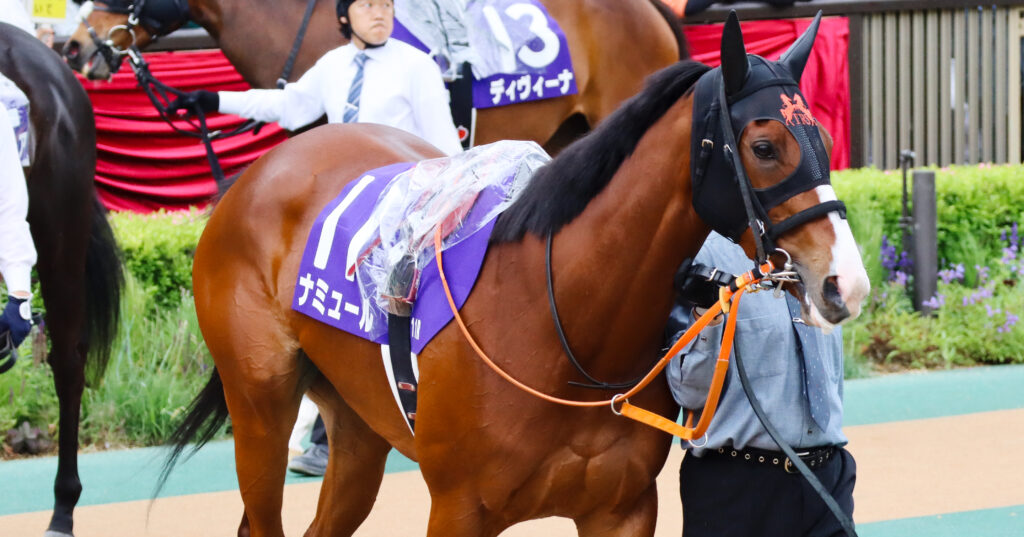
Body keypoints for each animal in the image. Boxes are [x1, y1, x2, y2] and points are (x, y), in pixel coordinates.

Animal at [163, 12, 869, 537]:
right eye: (764, 146)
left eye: (825, 143)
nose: (847, 283)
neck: (561, 328)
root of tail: (261, 171)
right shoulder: (459, 510)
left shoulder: (622, 509)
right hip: (259, 404)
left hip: (358, 424)